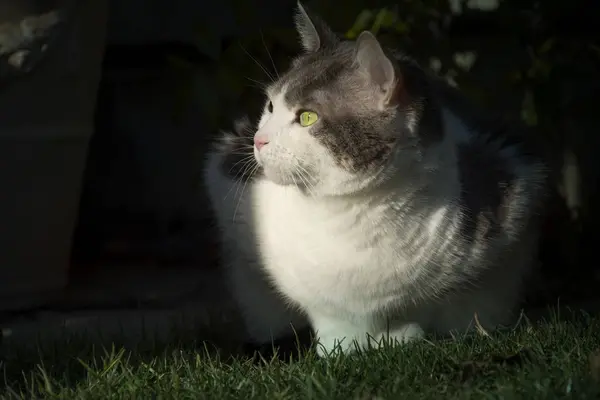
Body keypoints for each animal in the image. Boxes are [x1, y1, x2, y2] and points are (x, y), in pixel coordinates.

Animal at [203, 1, 548, 354]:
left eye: (307, 117)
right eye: (271, 106)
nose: (259, 140)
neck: (353, 213)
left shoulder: (511, 208)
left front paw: (403, 338)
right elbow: (328, 315)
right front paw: (341, 349)